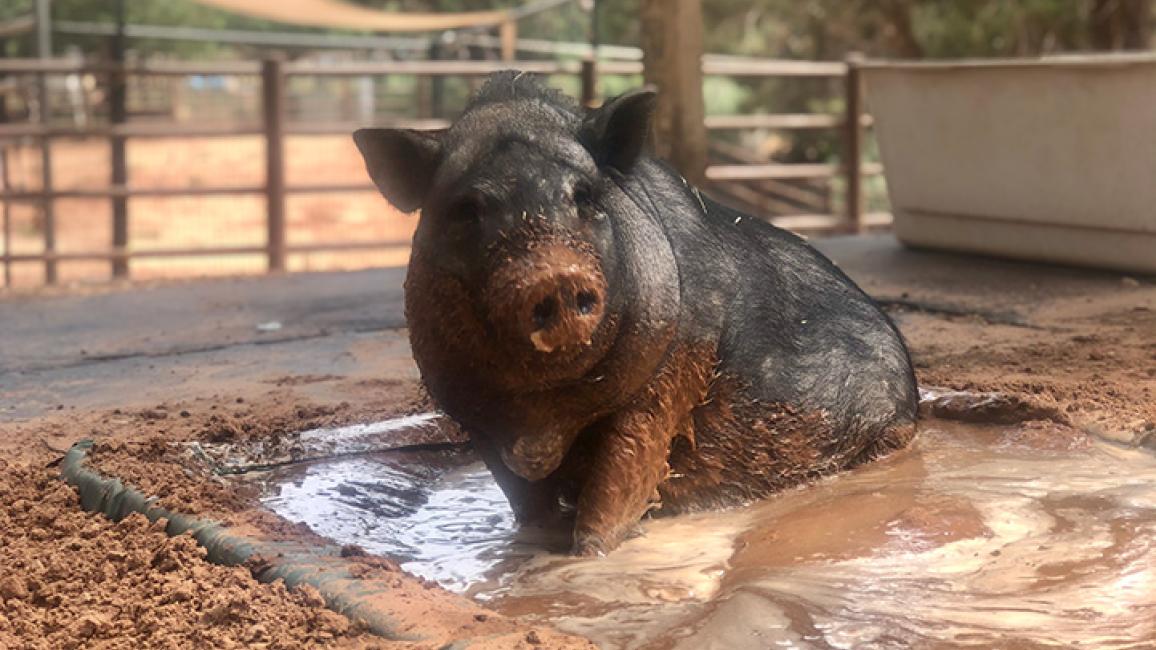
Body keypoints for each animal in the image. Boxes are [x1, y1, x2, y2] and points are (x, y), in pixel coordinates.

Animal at [354, 71, 918, 556]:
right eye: (468, 209)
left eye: (583, 195)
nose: (554, 277)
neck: (542, 415)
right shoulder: (469, 415)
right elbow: (525, 502)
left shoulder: (670, 373)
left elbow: (620, 479)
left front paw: (588, 555)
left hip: (883, 432)